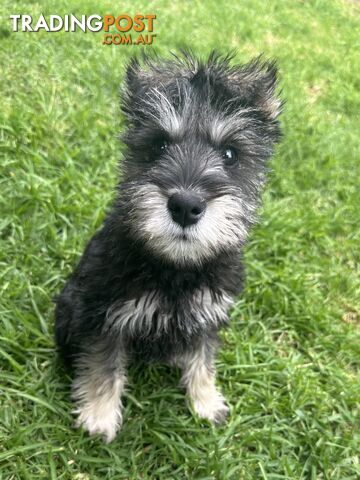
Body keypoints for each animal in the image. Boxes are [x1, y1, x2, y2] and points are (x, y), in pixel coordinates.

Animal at [54, 51, 282, 442]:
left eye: (230, 154)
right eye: (159, 144)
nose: (185, 206)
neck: (177, 269)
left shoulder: (208, 315)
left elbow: (203, 359)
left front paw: (206, 402)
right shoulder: (105, 317)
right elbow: (103, 366)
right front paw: (99, 416)